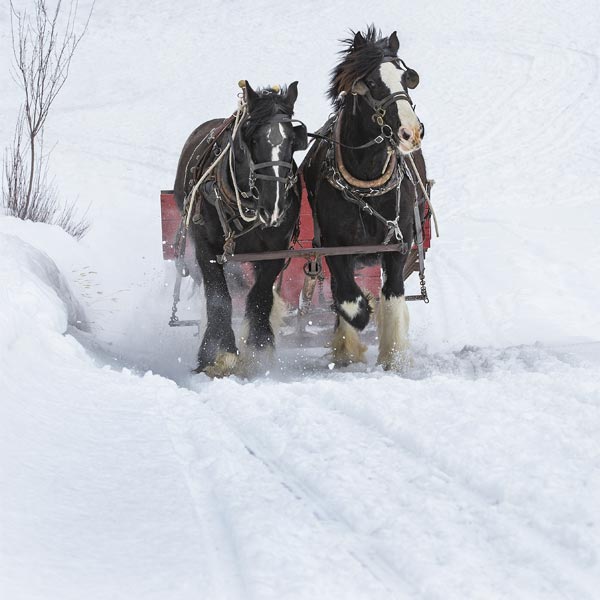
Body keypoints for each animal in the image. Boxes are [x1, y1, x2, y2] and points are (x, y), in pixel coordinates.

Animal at [172, 83, 304, 376]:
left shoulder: (276, 251)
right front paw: (218, 352)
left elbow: (260, 295)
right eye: (252, 139)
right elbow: (219, 296)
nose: (273, 207)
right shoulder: (206, 248)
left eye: (292, 141)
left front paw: (258, 346)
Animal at [300, 28, 426, 370]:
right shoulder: (334, 246)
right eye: (370, 82)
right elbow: (347, 297)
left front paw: (394, 356)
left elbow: (392, 294)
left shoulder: (398, 246)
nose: (411, 132)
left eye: (407, 77)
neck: (366, 181)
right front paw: (353, 334)